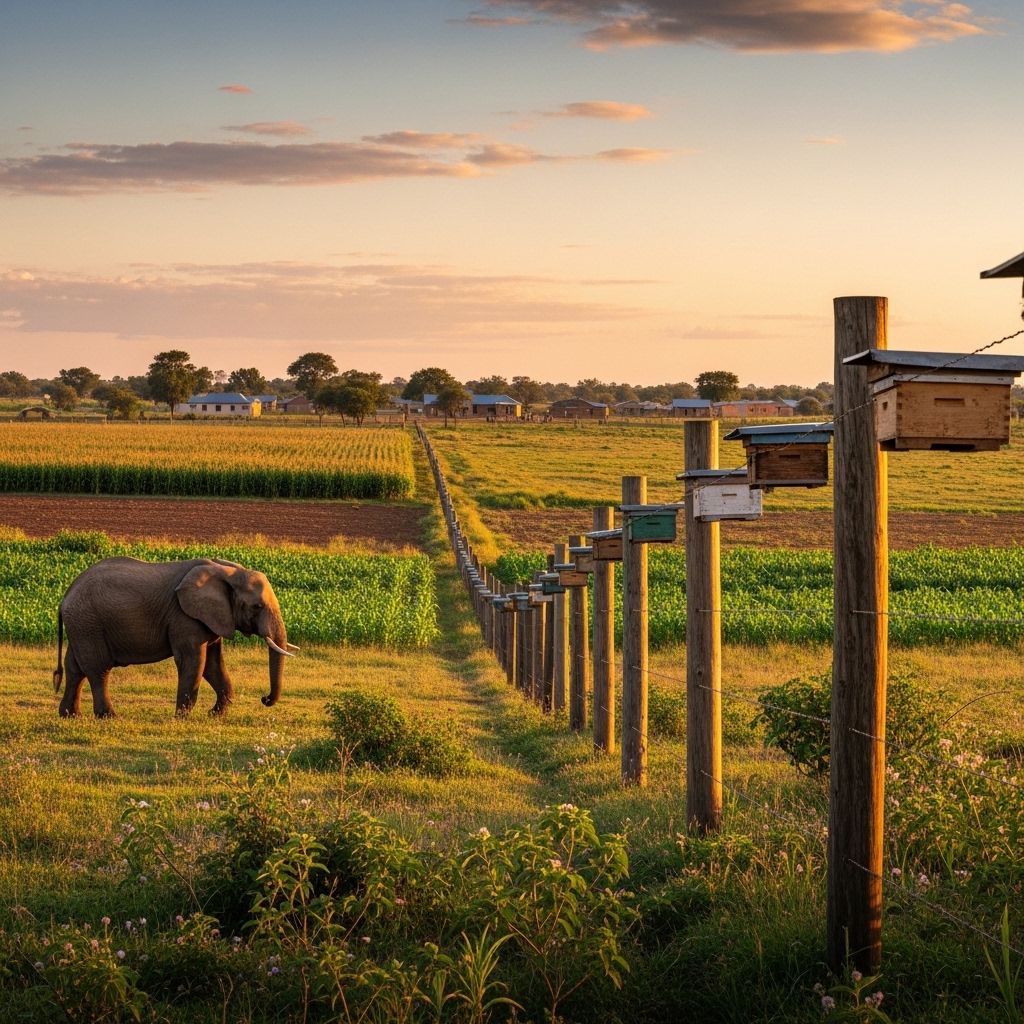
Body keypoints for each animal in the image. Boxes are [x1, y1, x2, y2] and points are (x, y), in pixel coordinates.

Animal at [53, 556, 296, 718]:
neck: (227, 571)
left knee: (75, 668)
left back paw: (70, 715)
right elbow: (193, 661)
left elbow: (213, 664)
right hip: (88, 623)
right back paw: (109, 717)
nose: (264, 699)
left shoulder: (212, 617)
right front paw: (182, 718)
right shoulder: (184, 617)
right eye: (257, 606)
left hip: (81, 626)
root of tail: (65, 596)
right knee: (98, 669)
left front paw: (215, 715)